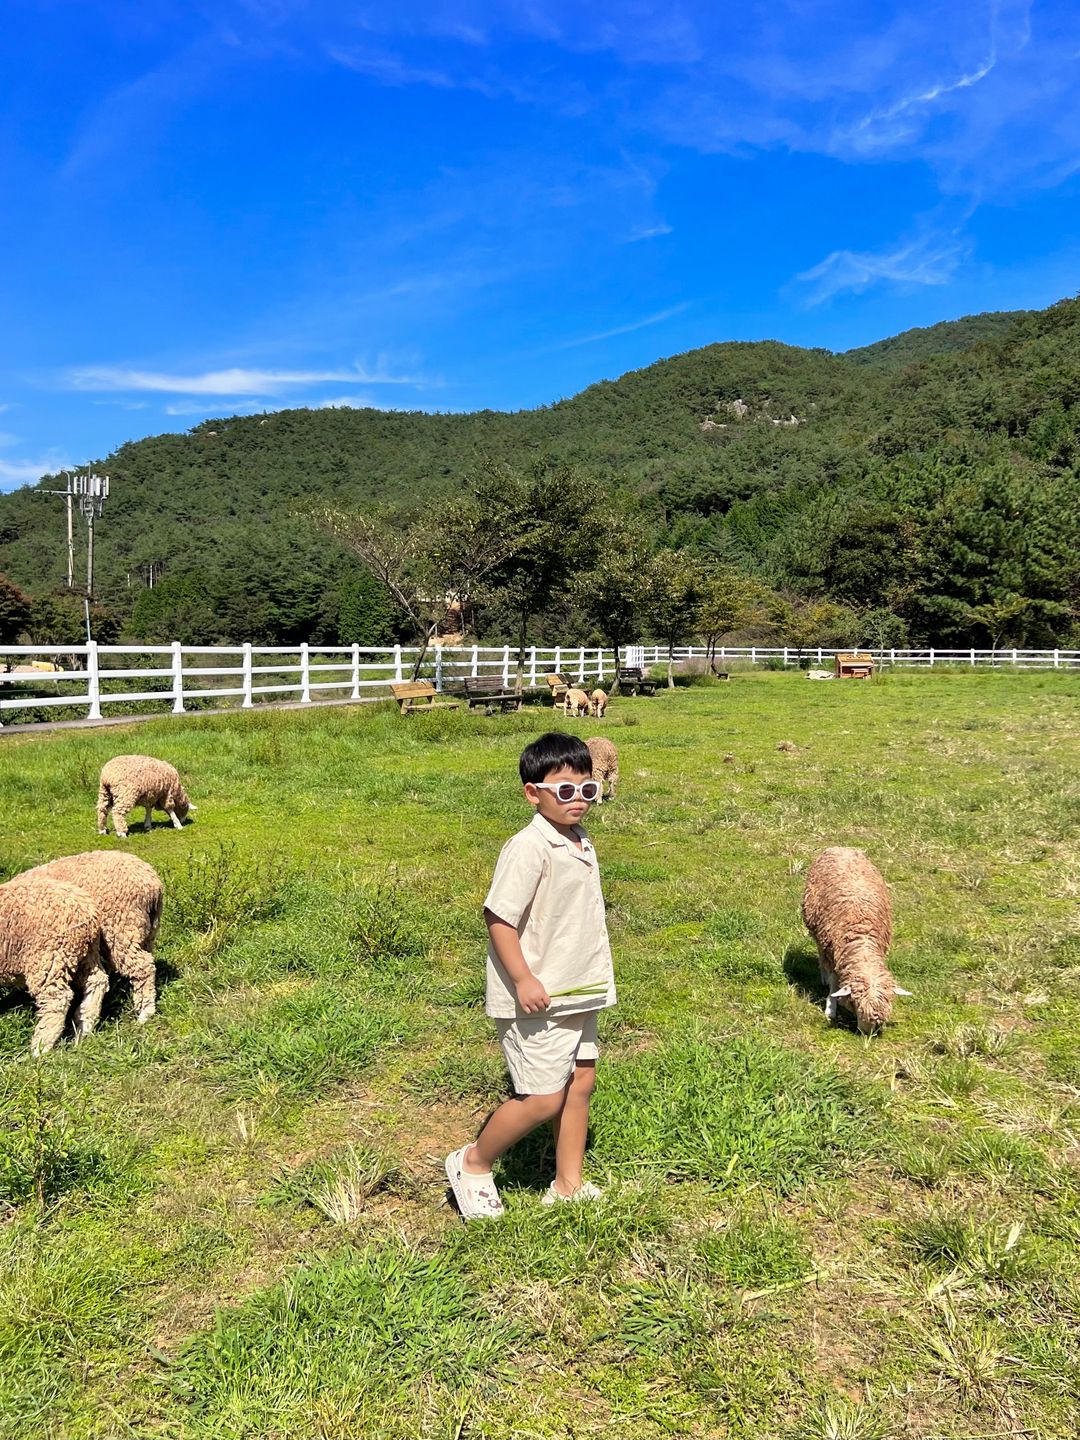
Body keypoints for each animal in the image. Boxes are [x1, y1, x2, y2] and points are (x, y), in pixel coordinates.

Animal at [0, 864, 106, 1059]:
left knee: (56, 999)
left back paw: (40, 1047)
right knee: (97, 982)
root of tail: (88, 912)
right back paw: (83, 1029)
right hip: (85, 953)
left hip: (49, 956)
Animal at [806, 840, 915, 1036]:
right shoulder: (832, 951)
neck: (861, 935)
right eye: (855, 1003)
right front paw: (830, 1008)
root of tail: (841, 847)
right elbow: (834, 983)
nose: (868, 1033)